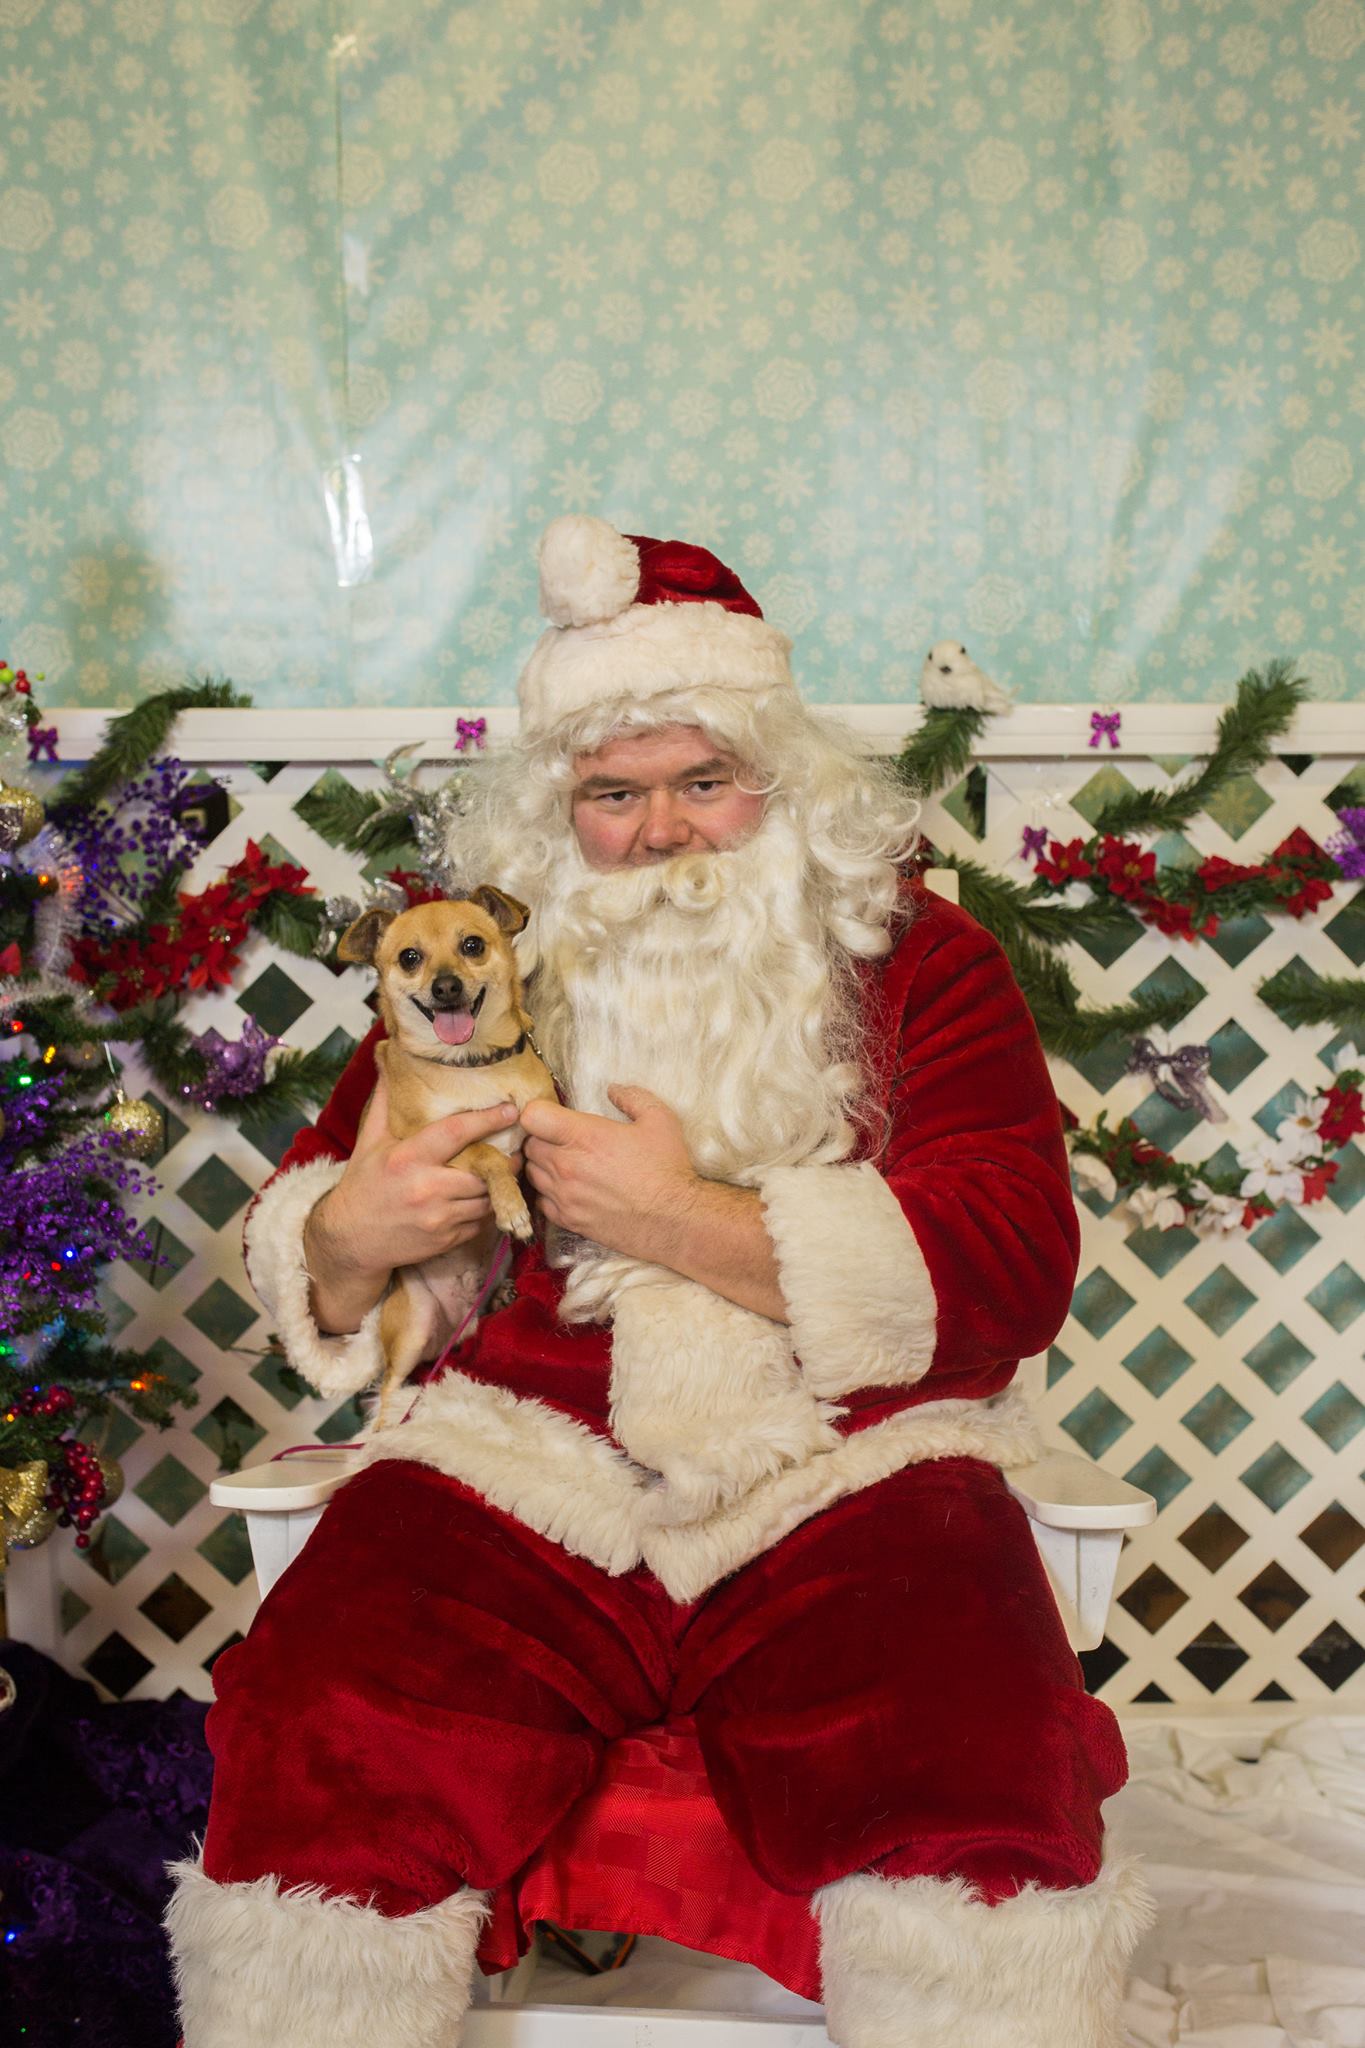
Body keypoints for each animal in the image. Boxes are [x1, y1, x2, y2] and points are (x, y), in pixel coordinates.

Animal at [337, 887, 557, 1423]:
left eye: (472, 946)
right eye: (409, 958)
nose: (446, 986)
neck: (470, 1065)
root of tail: (455, 1327)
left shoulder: (540, 1111)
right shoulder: (429, 1148)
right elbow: (488, 1153)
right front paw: (513, 1210)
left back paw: (496, 1296)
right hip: (411, 1327)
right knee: (389, 1393)